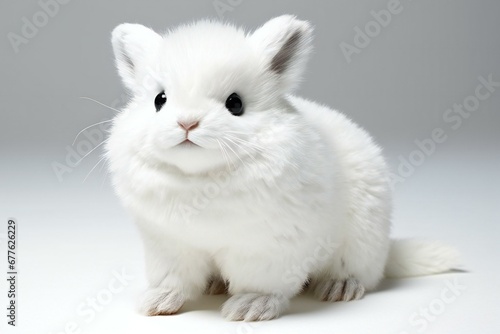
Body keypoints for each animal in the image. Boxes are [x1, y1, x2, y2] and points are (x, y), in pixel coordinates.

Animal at [107, 15, 458, 320]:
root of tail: (387, 252)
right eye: (159, 100)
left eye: (235, 104)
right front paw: (157, 301)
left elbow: (263, 284)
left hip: (361, 242)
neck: (202, 181)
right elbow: (175, 280)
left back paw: (339, 288)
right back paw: (214, 285)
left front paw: (250, 307)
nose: (187, 123)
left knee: (360, 273)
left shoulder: (267, 248)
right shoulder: (168, 245)